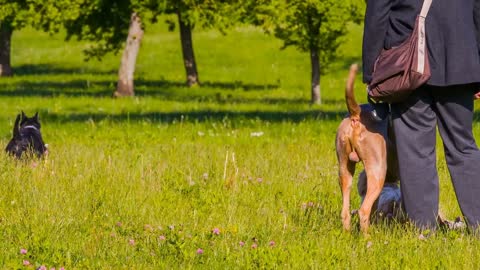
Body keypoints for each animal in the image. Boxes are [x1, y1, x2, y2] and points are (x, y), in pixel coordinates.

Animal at [336, 64, 400, 233]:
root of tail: (356, 116)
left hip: (345, 167)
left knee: (346, 211)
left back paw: (347, 234)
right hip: (377, 171)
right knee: (363, 211)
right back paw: (369, 237)